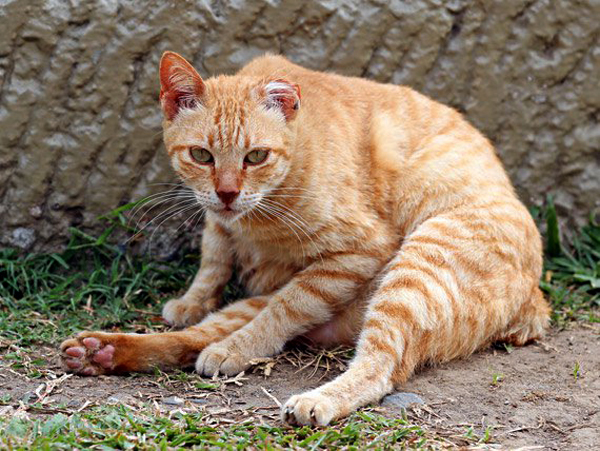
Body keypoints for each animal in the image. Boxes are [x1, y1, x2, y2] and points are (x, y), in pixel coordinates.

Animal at [59, 52, 548, 428]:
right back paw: (100, 351)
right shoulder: (218, 222)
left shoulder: (358, 252)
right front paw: (192, 300)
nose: (228, 192)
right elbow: (214, 256)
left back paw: (309, 396)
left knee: (379, 365)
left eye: (256, 156)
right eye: (202, 155)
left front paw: (235, 342)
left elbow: (284, 310)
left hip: (413, 273)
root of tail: (537, 302)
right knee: (195, 338)